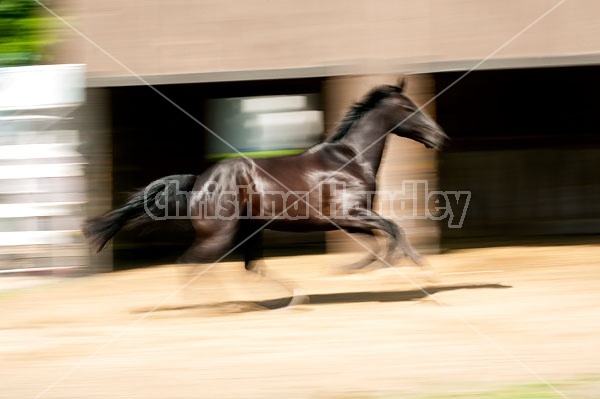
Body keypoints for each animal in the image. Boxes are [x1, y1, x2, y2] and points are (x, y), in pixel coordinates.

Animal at [85, 81, 450, 276]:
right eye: (410, 109)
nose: (440, 136)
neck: (350, 160)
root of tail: (199, 181)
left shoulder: (350, 220)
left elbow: (382, 236)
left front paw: (368, 265)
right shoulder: (349, 214)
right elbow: (392, 227)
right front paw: (413, 263)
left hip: (246, 230)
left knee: (248, 266)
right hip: (218, 235)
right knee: (192, 264)